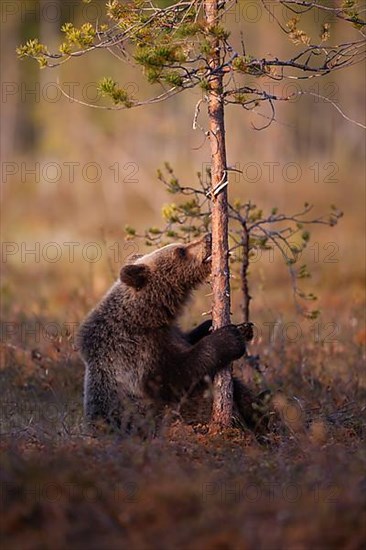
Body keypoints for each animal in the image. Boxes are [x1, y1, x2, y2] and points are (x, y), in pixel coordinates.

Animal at [77, 235, 260, 438]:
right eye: (180, 251)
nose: (208, 237)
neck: (148, 317)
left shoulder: (169, 333)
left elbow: (188, 339)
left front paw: (240, 327)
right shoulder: (135, 352)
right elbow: (175, 376)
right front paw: (228, 338)